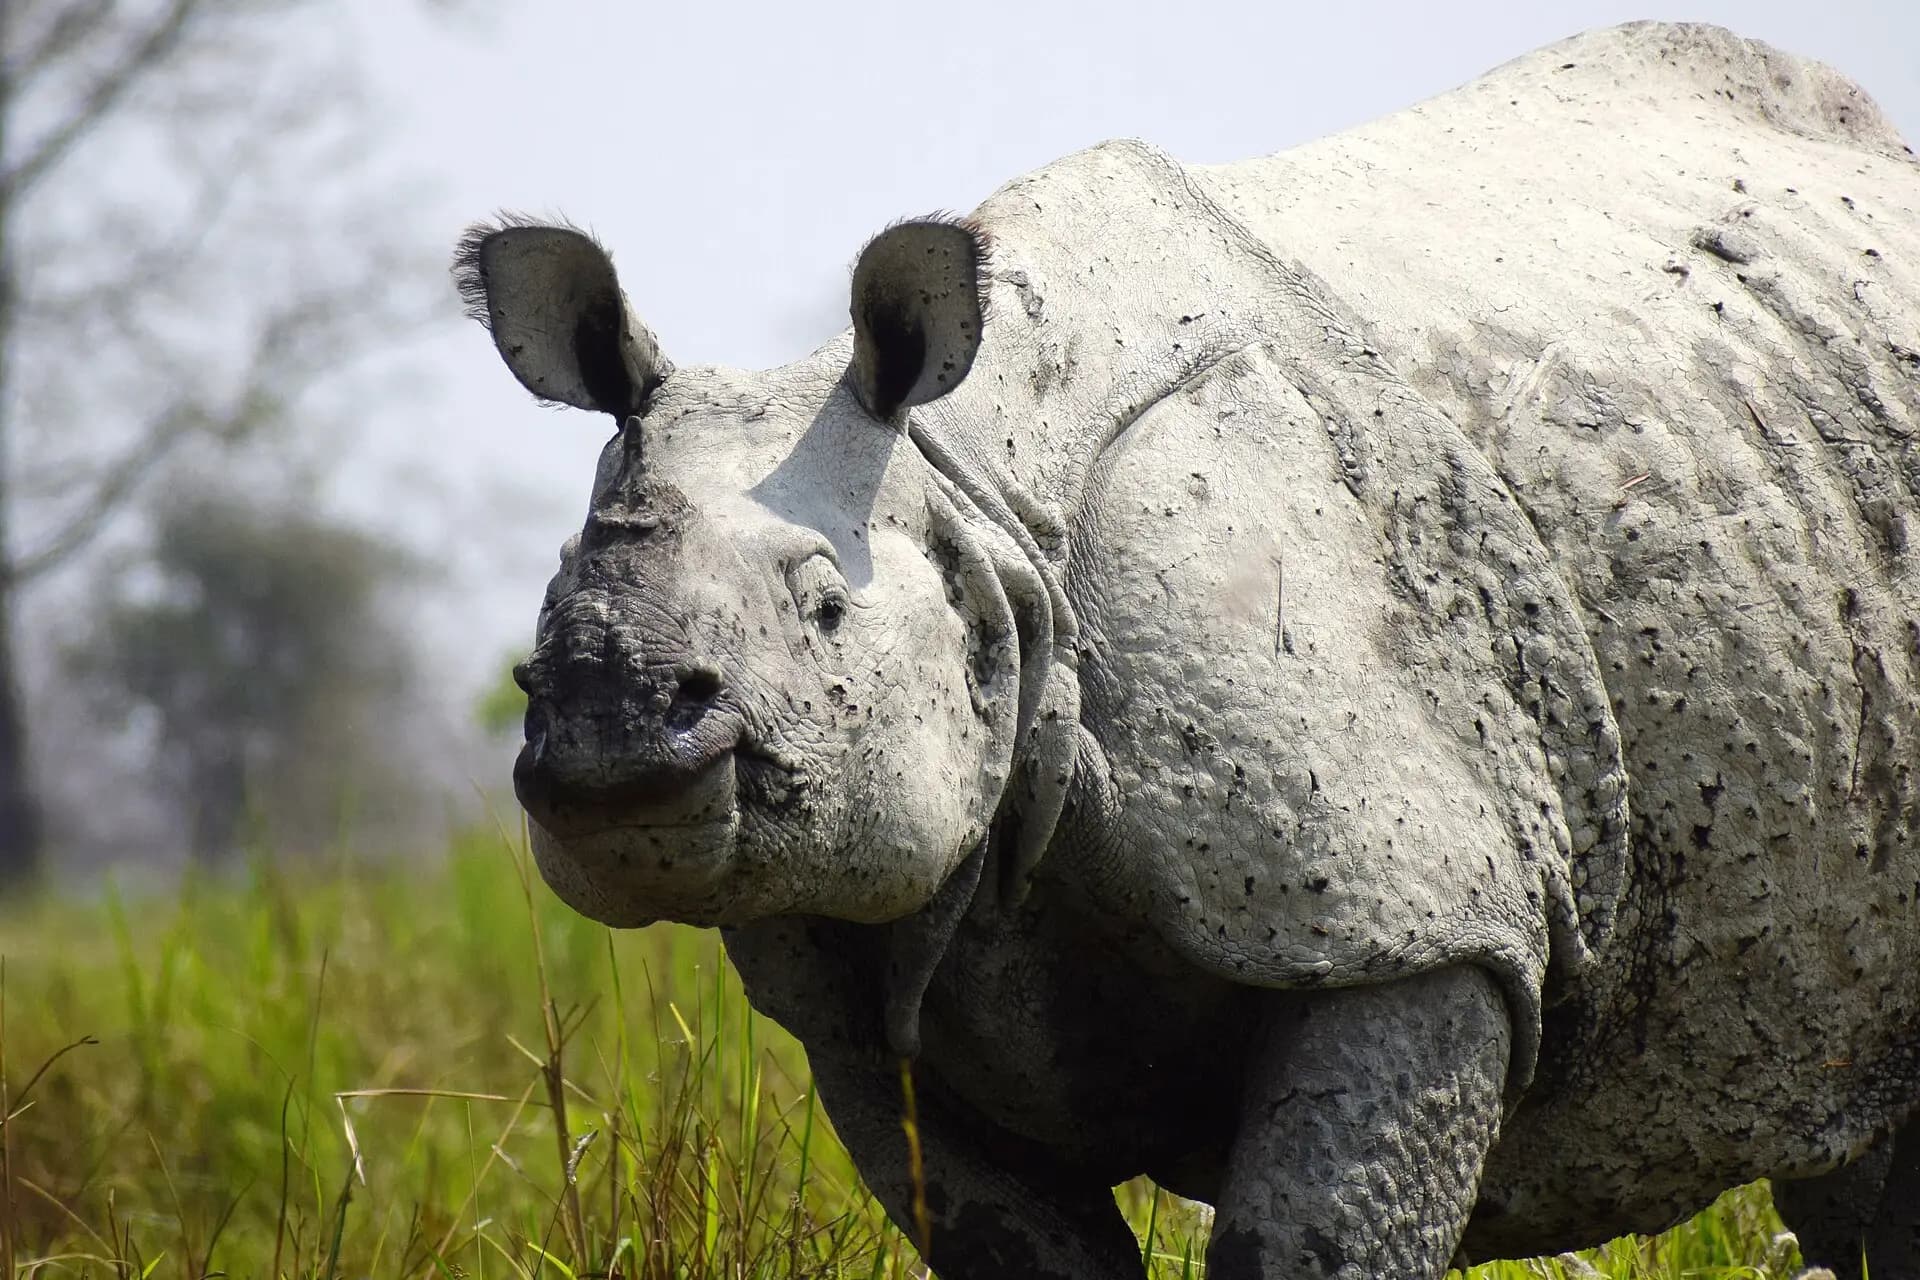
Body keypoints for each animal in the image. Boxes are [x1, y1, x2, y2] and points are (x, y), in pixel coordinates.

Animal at [454, 21, 1920, 1279]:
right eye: (549, 607)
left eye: (824, 602)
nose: (613, 744)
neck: (977, 509)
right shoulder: (867, 998)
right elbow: (1011, 1238)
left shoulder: (1419, 907)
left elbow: (1307, 1238)